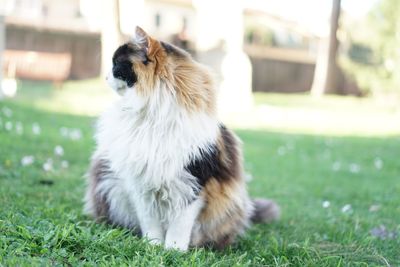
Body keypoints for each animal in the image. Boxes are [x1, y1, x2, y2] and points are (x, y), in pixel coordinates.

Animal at [84, 26, 278, 251]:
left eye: (116, 64)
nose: (106, 77)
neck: (153, 119)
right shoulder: (140, 186)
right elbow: (150, 223)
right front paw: (153, 247)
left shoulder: (192, 184)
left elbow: (179, 227)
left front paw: (173, 251)